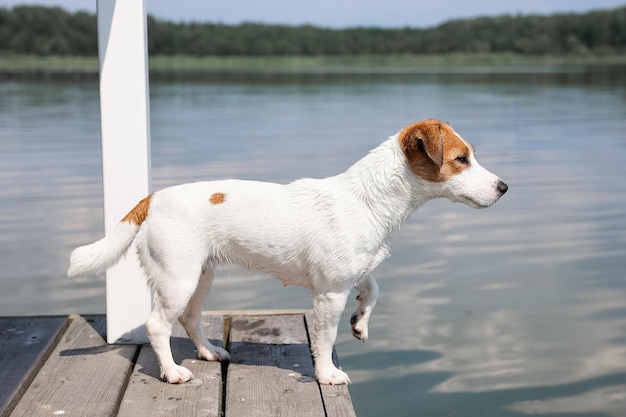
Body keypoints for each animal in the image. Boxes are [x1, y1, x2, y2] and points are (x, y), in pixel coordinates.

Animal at [69, 118, 508, 386]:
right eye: (461, 159)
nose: (504, 187)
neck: (368, 200)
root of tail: (152, 198)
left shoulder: (355, 271)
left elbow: (374, 288)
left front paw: (361, 322)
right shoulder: (329, 293)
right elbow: (326, 339)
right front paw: (328, 373)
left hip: (200, 277)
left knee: (191, 319)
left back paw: (209, 352)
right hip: (177, 279)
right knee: (158, 325)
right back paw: (174, 372)